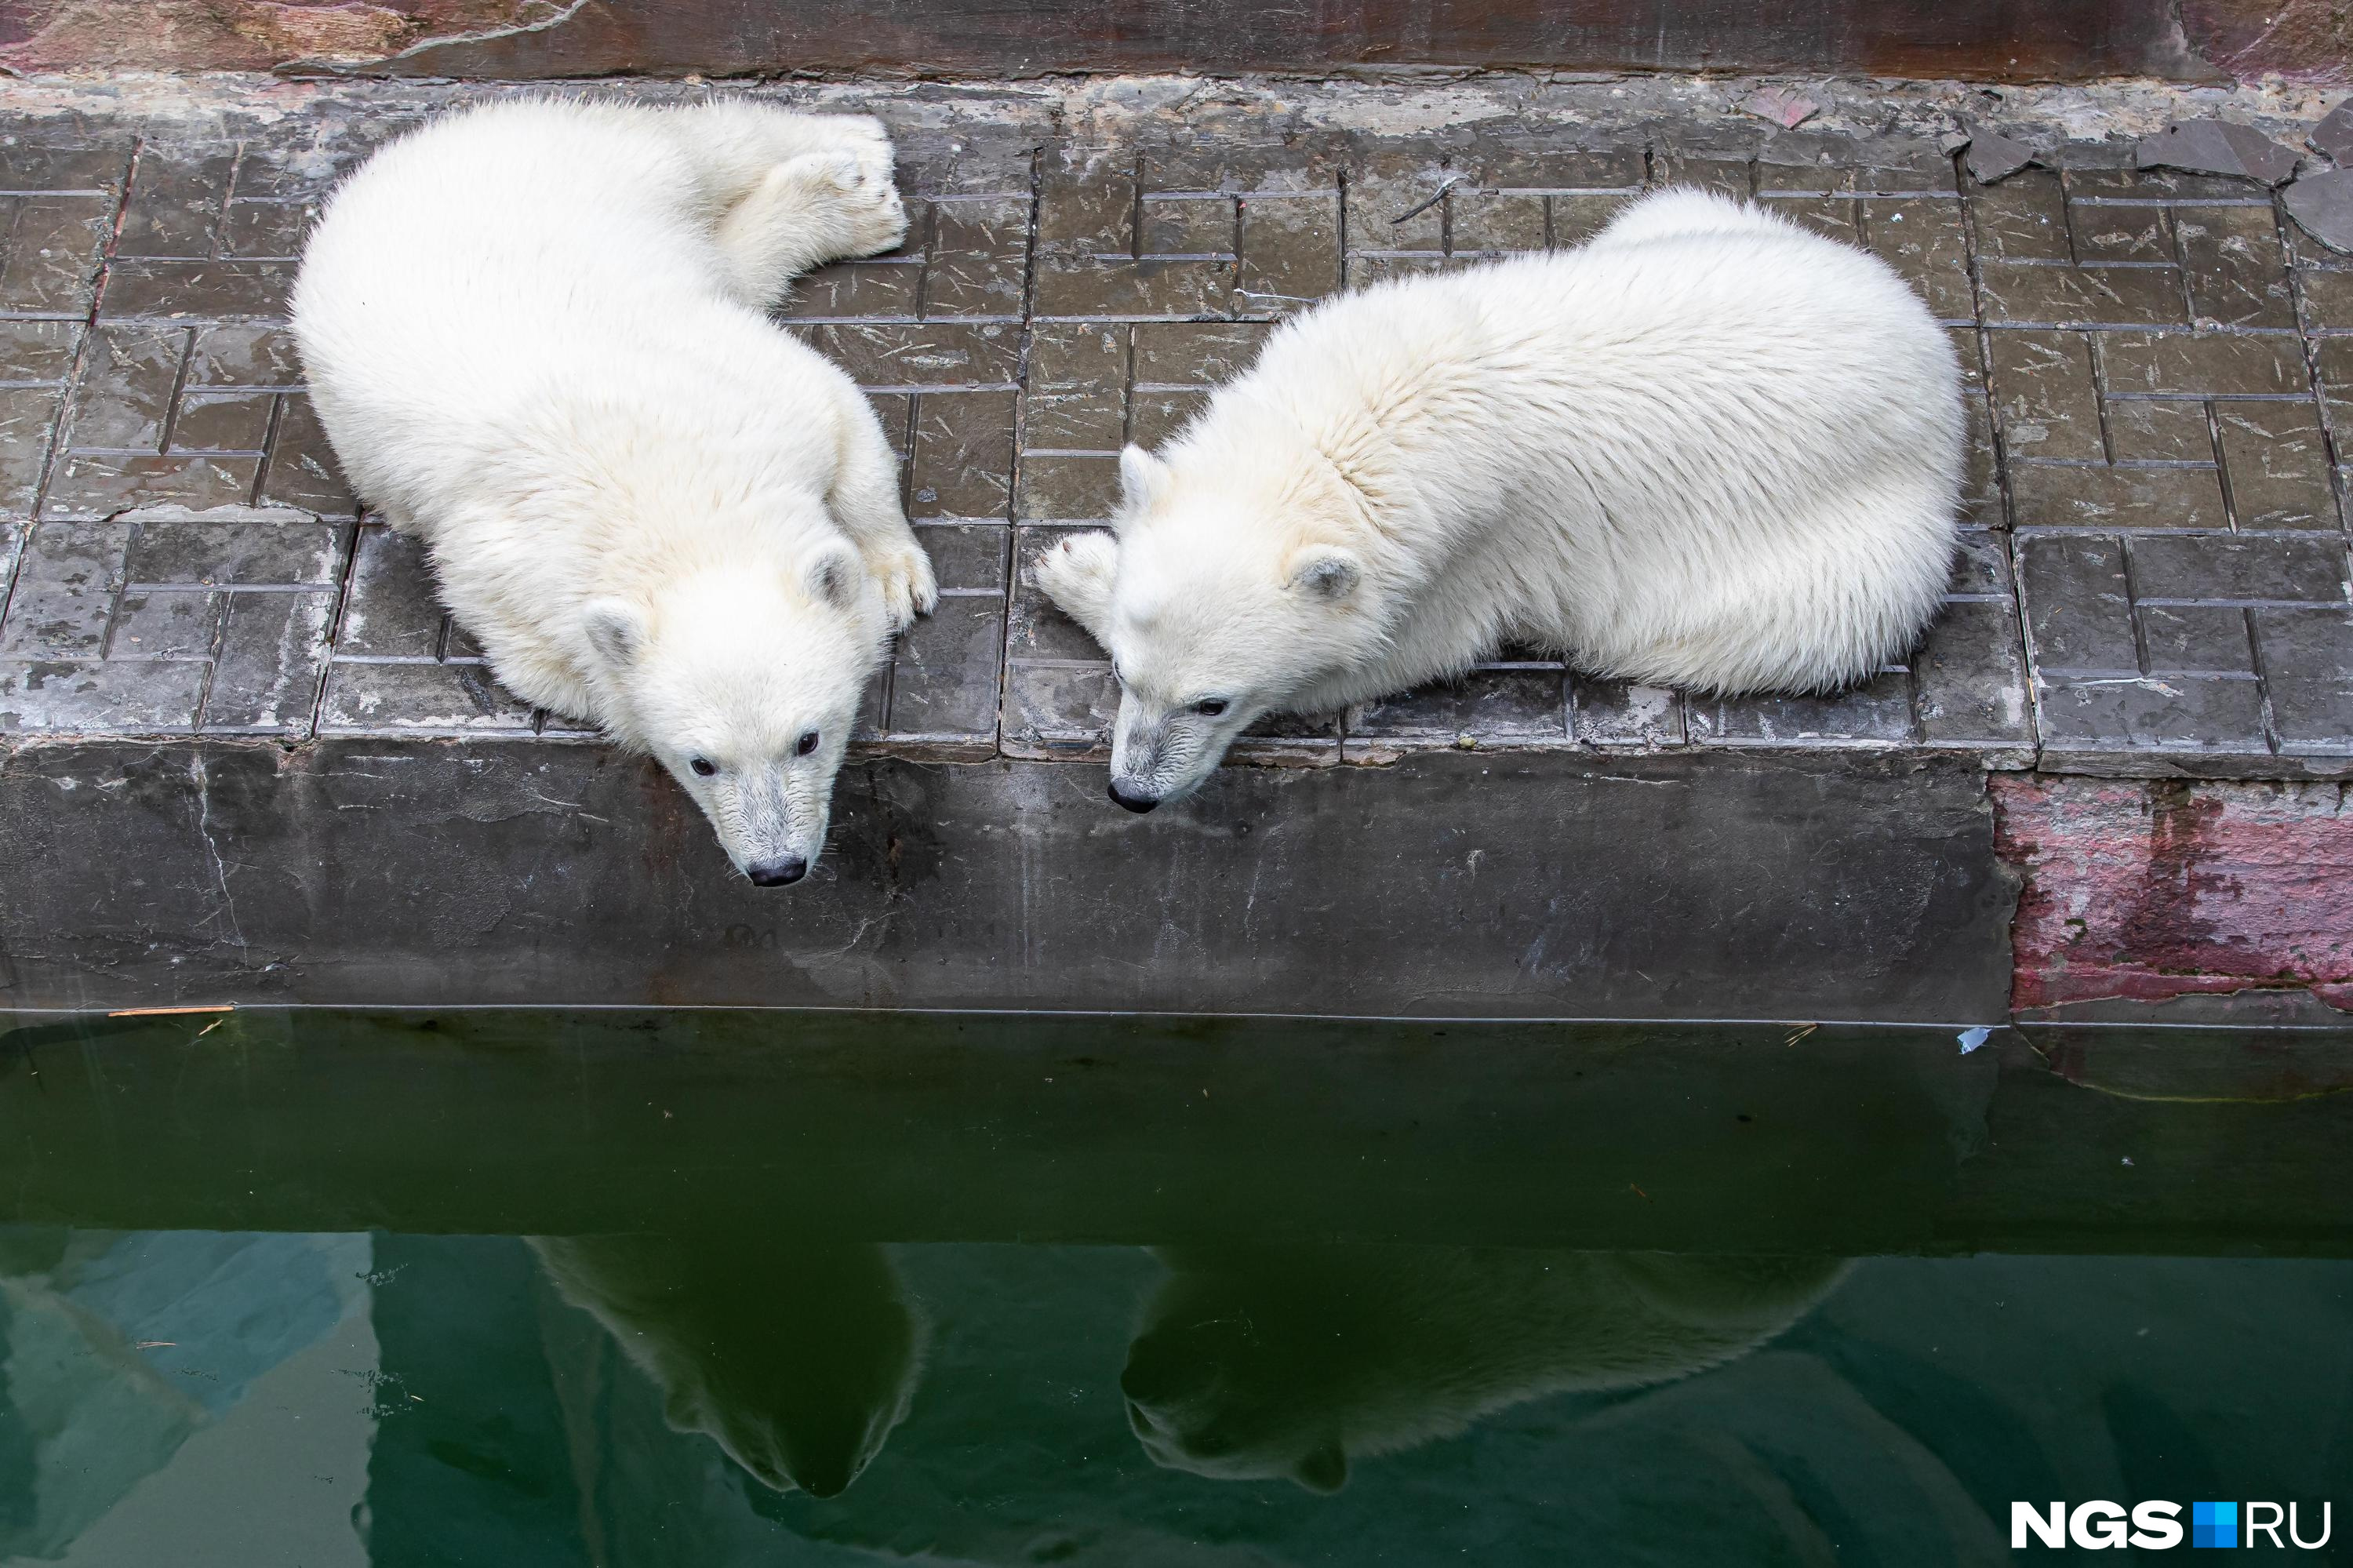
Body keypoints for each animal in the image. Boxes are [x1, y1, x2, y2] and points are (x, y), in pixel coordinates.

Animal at [299, 97, 941, 880]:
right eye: (702, 762)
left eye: (807, 738)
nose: (777, 868)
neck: (667, 496)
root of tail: (410, 149)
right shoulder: (499, 567)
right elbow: (555, 669)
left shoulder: (750, 397)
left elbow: (845, 423)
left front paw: (893, 577)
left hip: (592, 165)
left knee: (702, 148)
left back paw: (855, 165)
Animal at [1045, 186, 1967, 805]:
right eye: (1125, 675)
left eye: (1214, 700)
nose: (1131, 793)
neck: (1348, 432)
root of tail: (1940, 370)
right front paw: (1077, 561)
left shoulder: (1466, 550)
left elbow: (1392, 655)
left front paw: (1073, 569)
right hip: (1710, 226)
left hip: (1853, 555)